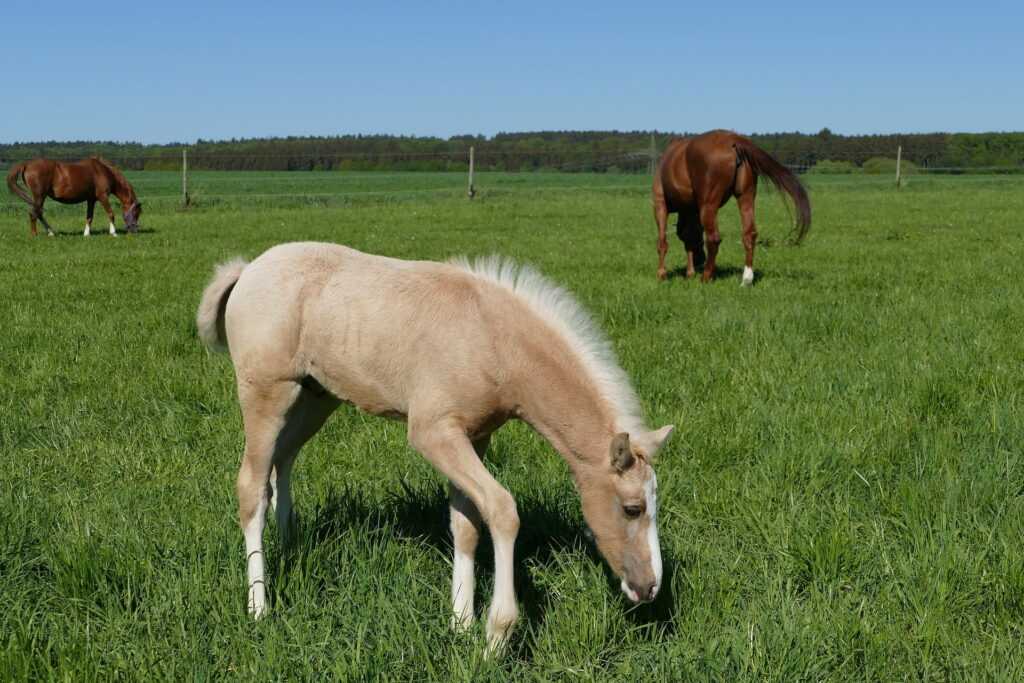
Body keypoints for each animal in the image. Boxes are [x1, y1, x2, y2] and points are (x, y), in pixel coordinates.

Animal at [6, 157, 142, 237]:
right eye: (135, 214)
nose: (134, 230)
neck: (102, 171)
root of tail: (27, 164)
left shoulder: (91, 200)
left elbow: (89, 217)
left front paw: (86, 234)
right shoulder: (102, 197)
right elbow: (111, 214)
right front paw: (113, 233)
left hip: (38, 198)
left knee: (38, 214)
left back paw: (51, 232)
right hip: (39, 196)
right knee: (34, 214)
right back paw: (35, 235)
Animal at [197, 242, 674, 656]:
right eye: (632, 508)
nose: (649, 587)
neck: (494, 341)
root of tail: (248, 269)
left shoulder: (474, 436)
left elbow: (466, 525)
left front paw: (461, 622)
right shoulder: (433, 432)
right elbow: (501, 509)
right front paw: (496, 635)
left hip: (316, 398)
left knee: (283, 463)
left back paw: (291, 546)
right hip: (266, 393)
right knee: (252, 487)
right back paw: (259, 608)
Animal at [653, 129, 811, 284]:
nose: (700, 259)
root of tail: (735, 140)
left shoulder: (660, 205)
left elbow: (663, 241)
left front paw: (662, 274)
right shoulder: (690, 211)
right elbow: (689, 237)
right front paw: (689, 273)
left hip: (709, 205)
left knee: (714, 238)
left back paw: (706, 277)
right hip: (745, 197)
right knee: (749, 234)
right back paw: (746, 279)